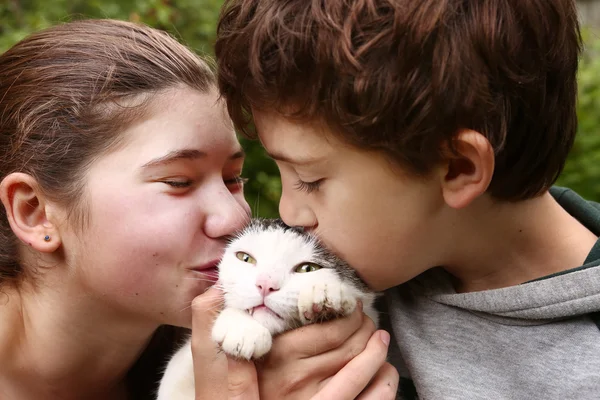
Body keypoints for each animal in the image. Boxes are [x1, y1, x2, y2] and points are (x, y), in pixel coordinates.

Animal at [157, 219, 378, 400]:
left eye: (308, 268)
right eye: (245, 258)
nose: (265, 284)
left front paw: (327, 293)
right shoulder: (176, 374)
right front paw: (242, 329)